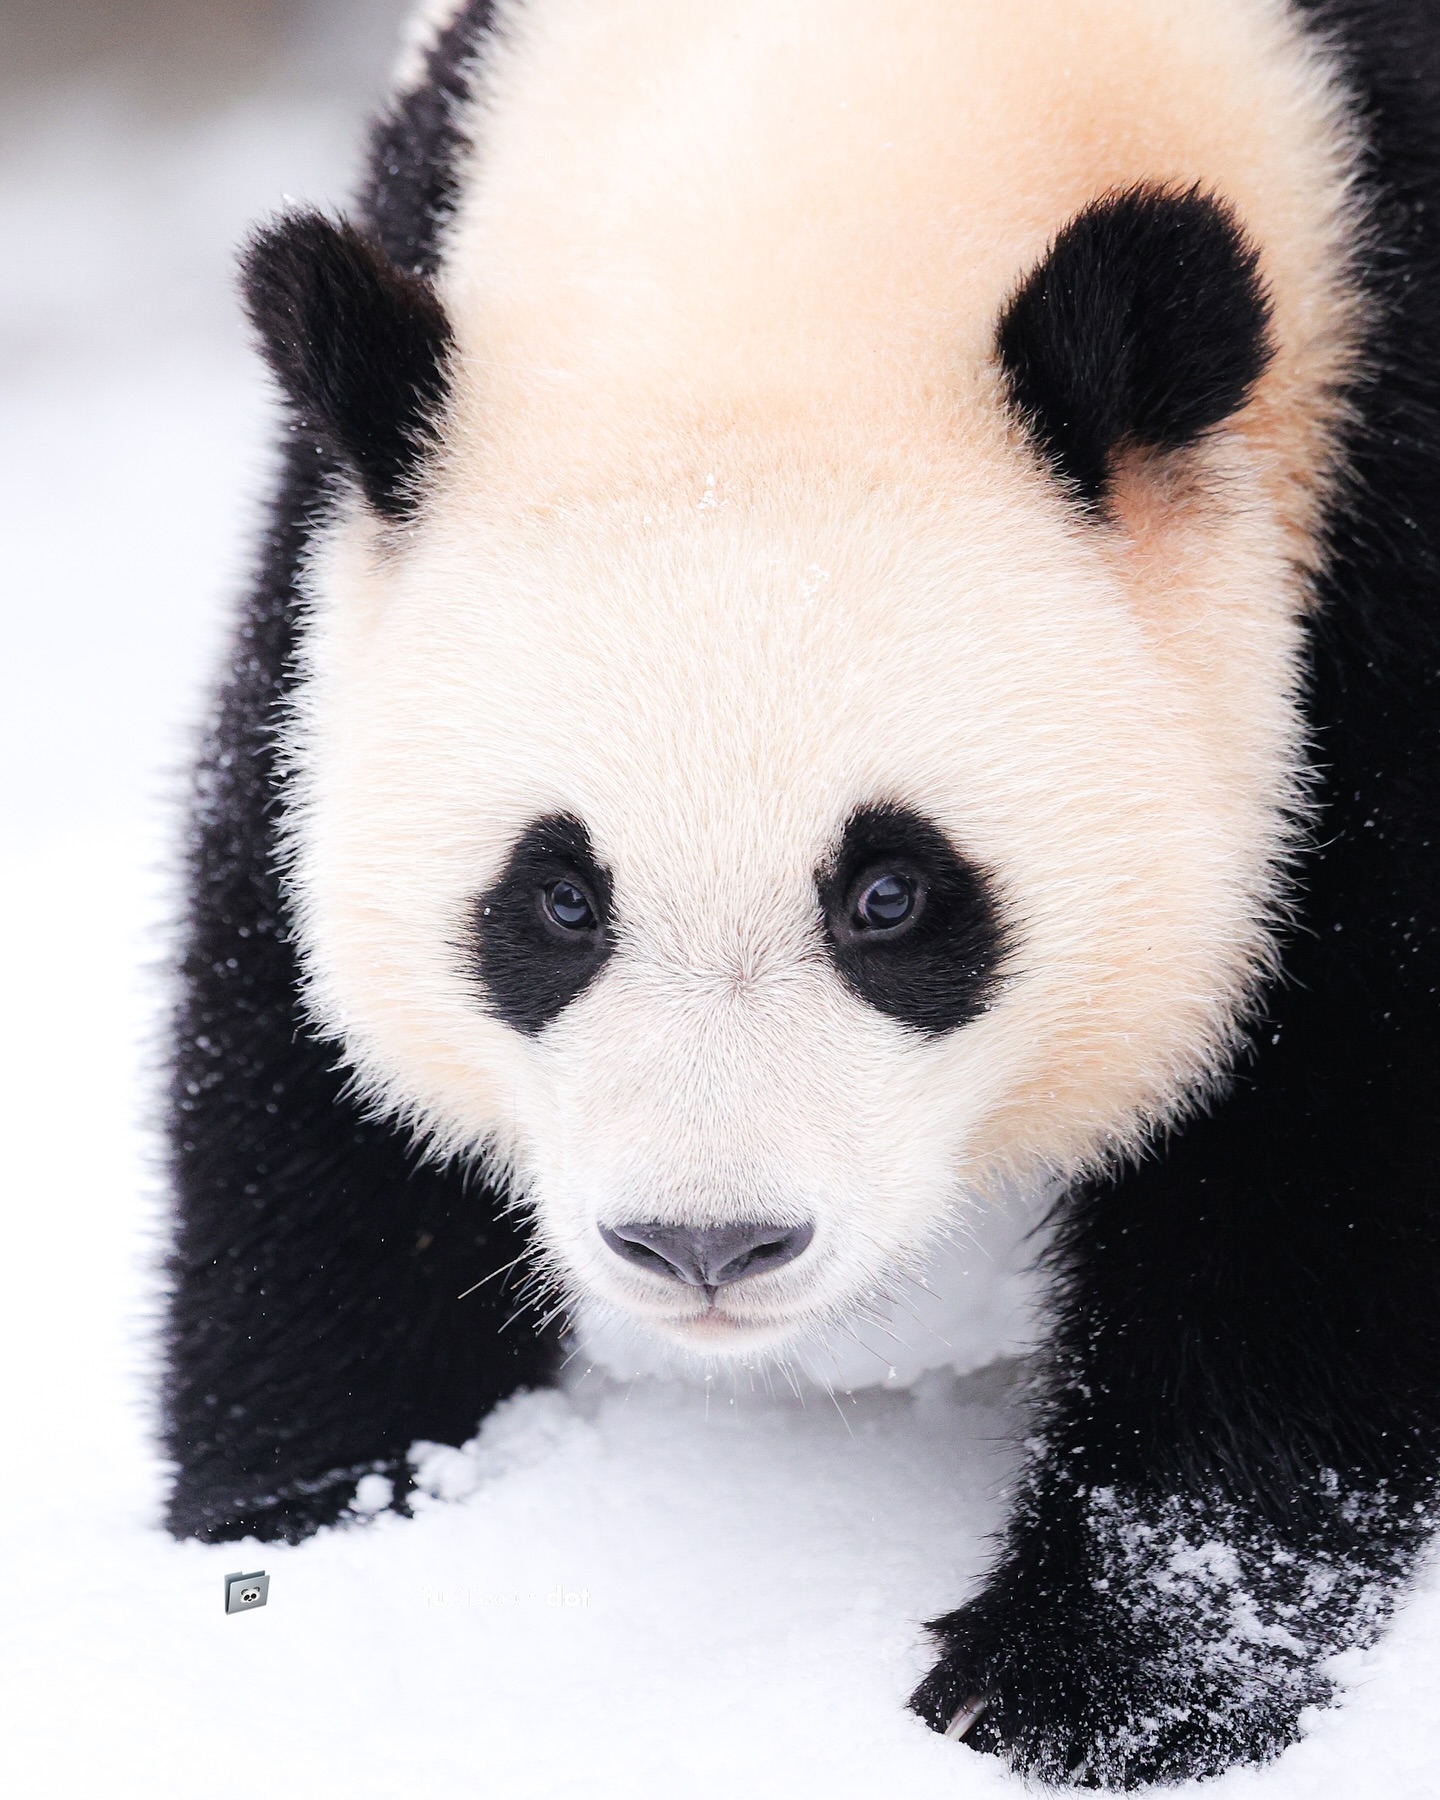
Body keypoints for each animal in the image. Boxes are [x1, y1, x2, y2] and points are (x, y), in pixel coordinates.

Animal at [162, 0, 1440, 1785]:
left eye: (893, 898)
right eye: (556, 903)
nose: (706, 1244)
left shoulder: (1386, 448)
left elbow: (1332, 1152)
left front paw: (1084, 1677)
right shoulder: (357, 454)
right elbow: (284, 1045)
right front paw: (315, 1522)